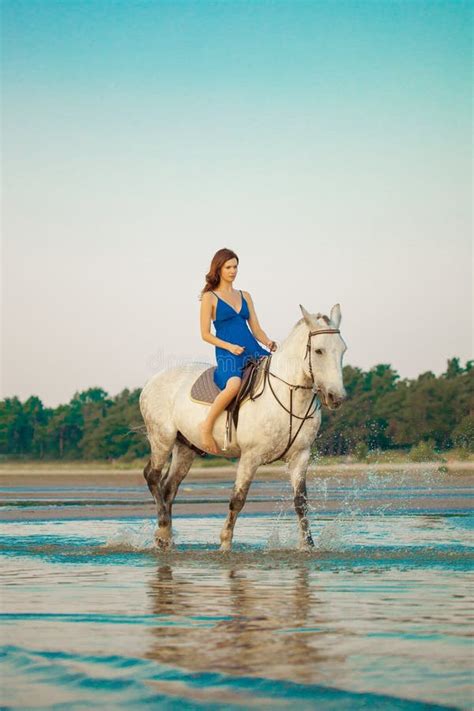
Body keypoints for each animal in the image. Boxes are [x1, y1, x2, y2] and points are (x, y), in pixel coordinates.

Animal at [139, 304, 346, 552]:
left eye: (343, 350)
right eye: (319, 351)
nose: (337, 397)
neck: (289, 395)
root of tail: (151, 382)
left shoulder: (300, 456)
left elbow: (301, 502)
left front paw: (307, 545)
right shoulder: (250, 457)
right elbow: (237, 499)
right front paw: (225, 544)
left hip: (185, 447)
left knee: (169, 487)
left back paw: (166, 538)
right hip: (162, 437)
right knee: (152, 476)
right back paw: (162, 529)